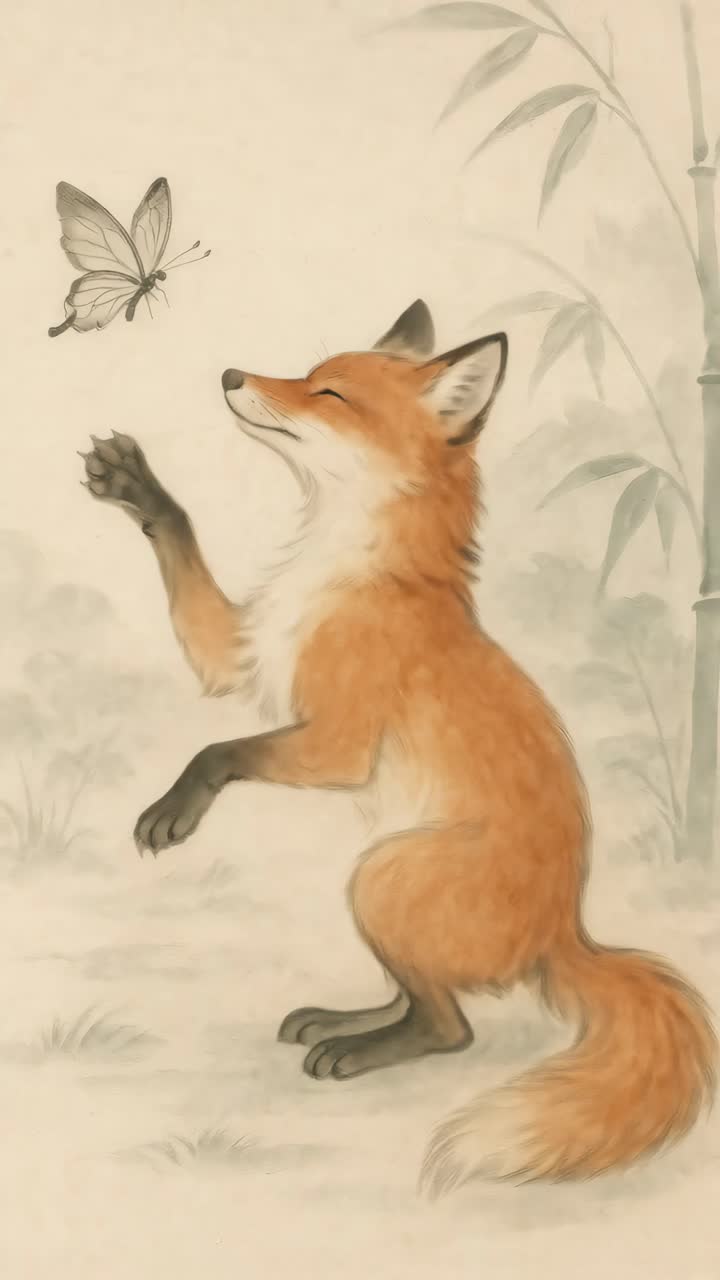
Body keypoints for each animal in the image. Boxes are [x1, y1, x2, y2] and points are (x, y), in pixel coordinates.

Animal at [81, 299, 717, 1196]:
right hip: (379, 882)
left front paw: (172, 814)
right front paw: (137, 486)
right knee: (420, 999)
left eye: (330, 394)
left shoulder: (337, 744)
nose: (231, 374)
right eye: (306, 374)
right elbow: (184, 550)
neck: (349, 571)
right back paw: (341, 1019)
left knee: (451, 1028)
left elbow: (217, 752)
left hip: (381, 877)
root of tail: (565, 935)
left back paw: (356, 1052)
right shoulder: (237, 654)